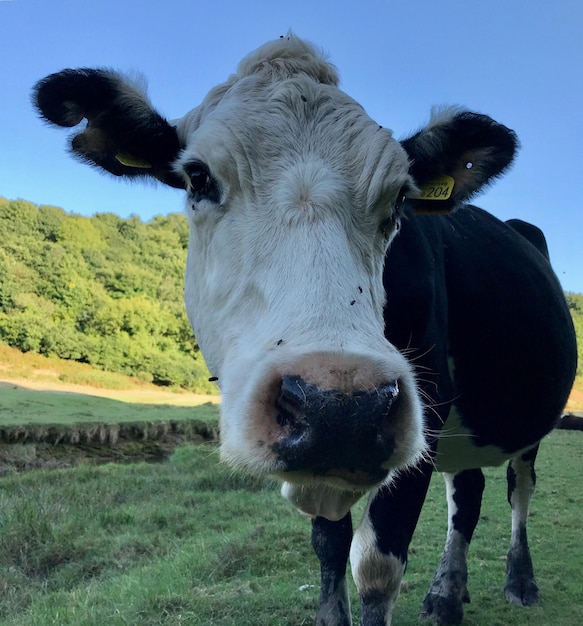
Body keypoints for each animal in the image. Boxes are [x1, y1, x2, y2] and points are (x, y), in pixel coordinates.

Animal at [34, 34, 576, 624]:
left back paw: (518, 579)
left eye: (399, 198)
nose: (342, 408)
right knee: (468, 488)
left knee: (518, 488)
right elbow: (329, 544)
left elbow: (377, 567)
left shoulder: (425, 405)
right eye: (197, 176)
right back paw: (447, 593)